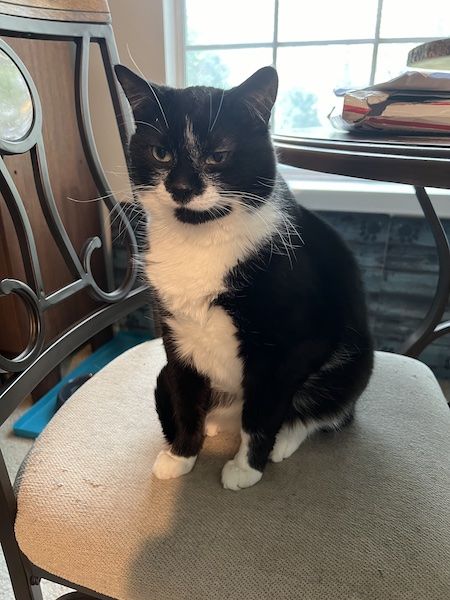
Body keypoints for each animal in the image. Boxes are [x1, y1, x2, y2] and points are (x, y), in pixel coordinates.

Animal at [114, 63, 374, 490]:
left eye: (218, 156)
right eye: (160, 152)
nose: (181, 188)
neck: (201, 241)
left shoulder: (288, 348)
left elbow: (263, 410)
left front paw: (247, 467)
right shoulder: (174, 334)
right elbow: (184, 396)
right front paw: (181, 455)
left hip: (352, 362)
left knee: (329, 410)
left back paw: (285, 439)